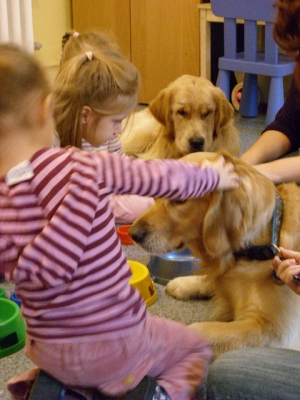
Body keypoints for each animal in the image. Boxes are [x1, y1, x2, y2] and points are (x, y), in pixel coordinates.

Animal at [129, 152, 300, 358]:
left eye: (180, 199)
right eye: (156, 196)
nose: (133, 234)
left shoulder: (274, 332)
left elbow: (200, 329)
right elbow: (214, 278)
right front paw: (186, 283)